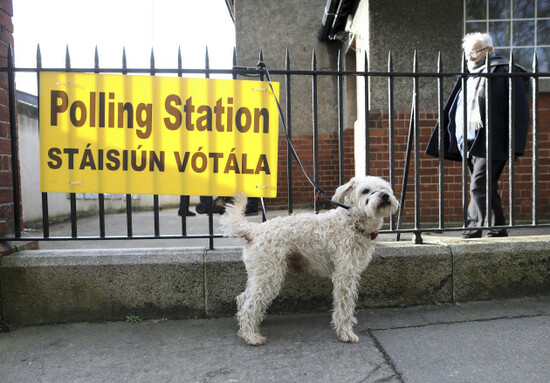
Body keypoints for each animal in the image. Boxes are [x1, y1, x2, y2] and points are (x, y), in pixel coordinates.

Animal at [221, 176, 402, 346]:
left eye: (385, 188)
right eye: (365, 191)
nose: (385, 196)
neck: (352, 223)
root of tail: (254, 230)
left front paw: (349, 322)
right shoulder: (344, 275)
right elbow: (344, 305)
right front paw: (345, 332)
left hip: (259, 274)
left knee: (243, 298)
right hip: (269, 276)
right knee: (248, 305)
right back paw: (251, 336)